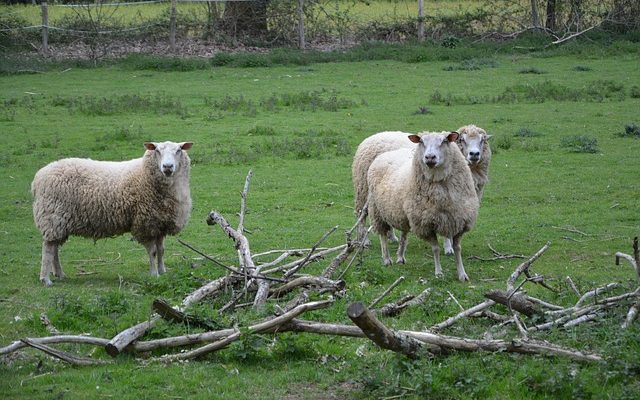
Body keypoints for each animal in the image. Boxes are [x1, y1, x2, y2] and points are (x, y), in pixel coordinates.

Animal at [32, 141, 192, 284]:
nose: (167, 167)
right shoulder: (145, 224)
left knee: (54, 248)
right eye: (157, 151)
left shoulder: (160, 224)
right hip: (52, 217)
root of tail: (39, 176)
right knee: (48, 248)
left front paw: (162, 271)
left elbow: (161, 250)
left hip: (59, 222)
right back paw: (45, 279)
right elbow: (152, 252)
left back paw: (59, 274)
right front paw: (154, 274)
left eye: (178, 150)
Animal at [364, 132, 480, 282]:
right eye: (421, 142)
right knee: (383, 235)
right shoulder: (426, 224)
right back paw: (387, 259)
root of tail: (386, 154)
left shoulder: (459, 221)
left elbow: (457, 248)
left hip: (403, 214)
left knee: (404, 234)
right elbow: (435, 248)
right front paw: (439, 272)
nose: (430, 157)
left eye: (444, 141)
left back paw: (400, 257)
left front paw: (462, 274)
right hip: (377, 210)